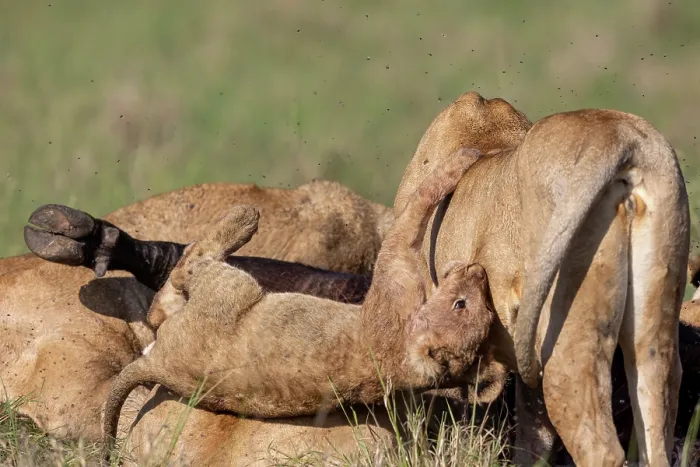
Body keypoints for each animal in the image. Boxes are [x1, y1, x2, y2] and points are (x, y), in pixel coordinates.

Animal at [102, 150, 507, 456]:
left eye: (461, 304)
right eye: (473, 307)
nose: (478, 272)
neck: (406, 359)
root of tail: (160, 365)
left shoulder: (394, 275)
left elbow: (411, 218)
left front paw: (463, 159)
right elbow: (412, 216)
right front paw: (464, 158)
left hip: (232, 291)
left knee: (185, 272)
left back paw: (244, 219)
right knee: (165, 297)